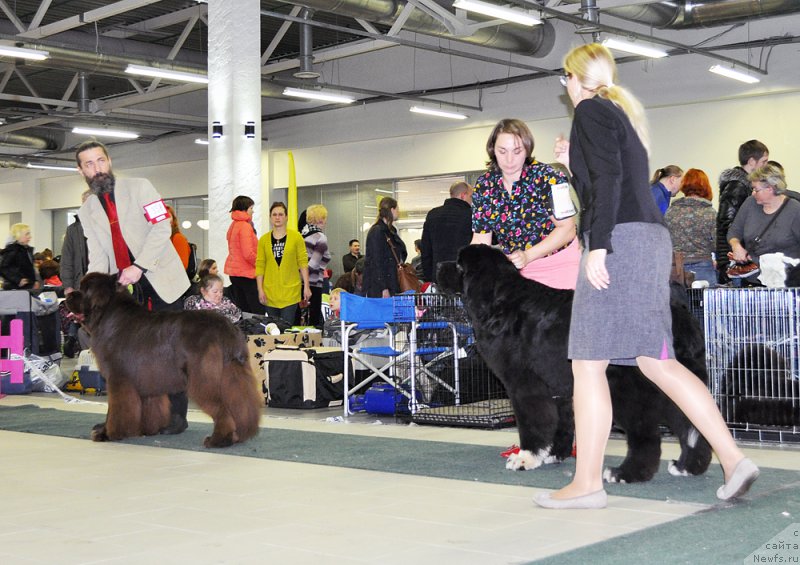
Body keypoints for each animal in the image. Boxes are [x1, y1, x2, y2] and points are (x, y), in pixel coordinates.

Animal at [66, 270, 260, 448]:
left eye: (84, 289)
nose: (68, 294)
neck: (107, 315)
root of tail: (227, 328)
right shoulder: (147, 378)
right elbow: (150, 406)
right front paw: (146, 430)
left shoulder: (118, 378)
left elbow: (116, 410)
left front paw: (106, 433)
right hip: (232, 376)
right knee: (240, 405)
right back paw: (238, 436)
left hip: (203, 379)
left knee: (222, 409)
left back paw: (219, 440)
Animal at [438, 245, 712, 482]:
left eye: (460, 265)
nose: (439, 264)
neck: (500, 301)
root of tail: (679, 314)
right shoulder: (559, 383)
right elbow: (563, 420)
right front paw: (553, 454)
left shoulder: (524, 384)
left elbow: (532, 422)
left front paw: (526, 458)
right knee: (692, 422)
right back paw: (688, 467)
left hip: (626, 388)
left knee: (647, 434)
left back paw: (626, 474)